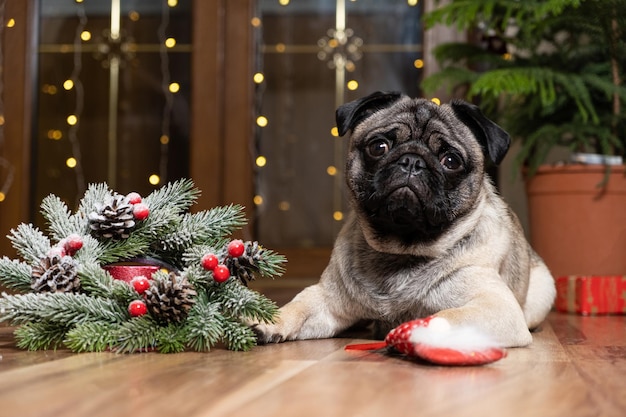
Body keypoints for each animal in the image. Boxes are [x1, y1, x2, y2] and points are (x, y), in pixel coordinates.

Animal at [251, 91, 552, 348]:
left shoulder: (495, 308)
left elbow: (448, 315)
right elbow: (298, 305)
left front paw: (418, 330)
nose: (412, 161)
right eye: (379, 147)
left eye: (451, 161)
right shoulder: (326, 300)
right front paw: (268, 320)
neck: (401, 250)